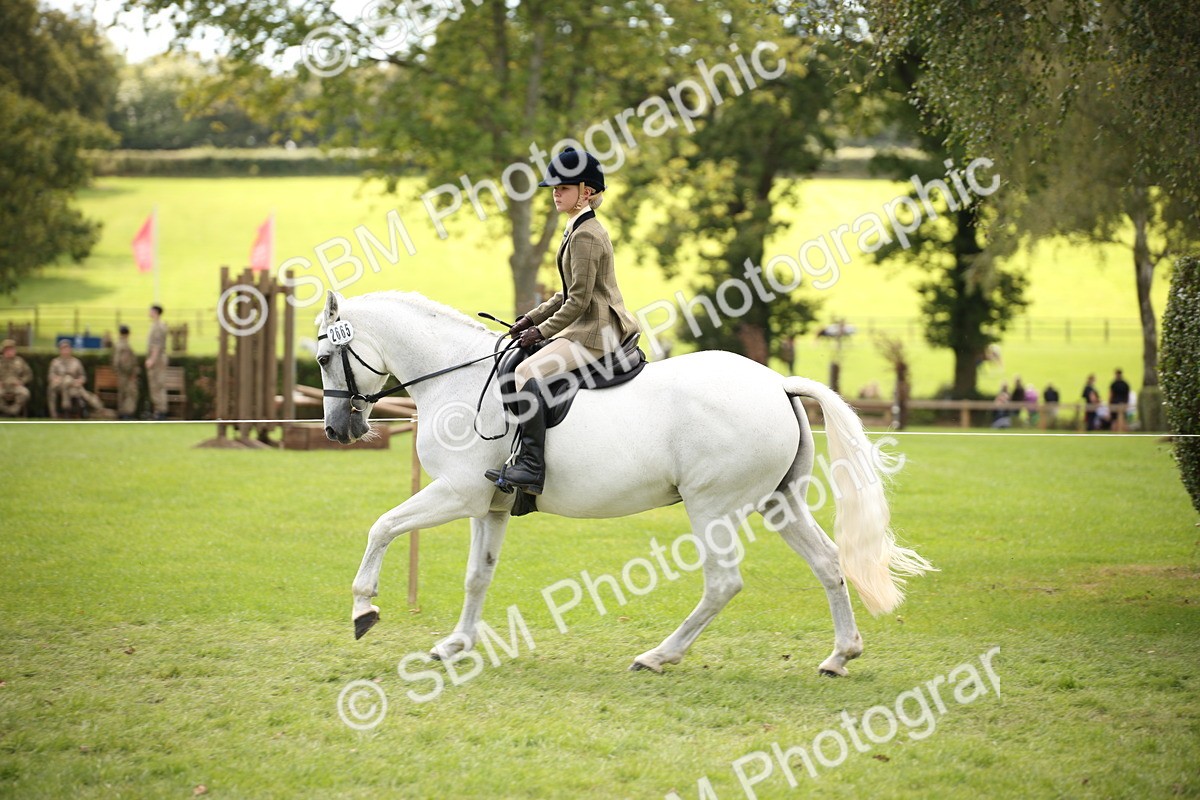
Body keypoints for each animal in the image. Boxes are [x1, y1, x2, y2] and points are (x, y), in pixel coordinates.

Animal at [316, 290, 933, 676]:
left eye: (323, 357)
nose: (339, 429)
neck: (456, 379)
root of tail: (777, 384)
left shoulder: (456, 493)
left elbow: (382, 526)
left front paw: (364, 610)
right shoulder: (489, 505)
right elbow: (477, 577)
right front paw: (455, 645)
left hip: (712, 507)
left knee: (722, 583)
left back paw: (658, 656)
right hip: (779, 502)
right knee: (829, 563)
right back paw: (840, 655)